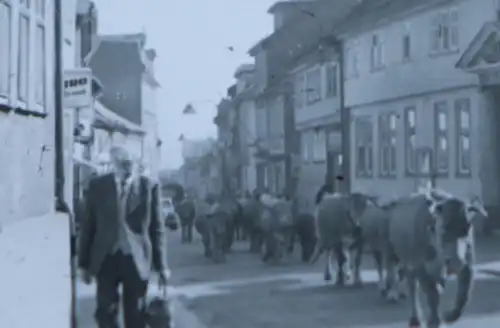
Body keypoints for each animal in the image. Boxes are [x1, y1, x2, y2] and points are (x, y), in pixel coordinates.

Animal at [382, 190, 488, 328]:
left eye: (467, 229)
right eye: (443, 229)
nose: (456, 261)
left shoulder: (468, 265)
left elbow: (463, 295)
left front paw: (450, 316)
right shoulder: (420, 266)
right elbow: (433, 296)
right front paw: (434, 321)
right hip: (392, 251)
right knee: (399, 276)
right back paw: (401, 304)